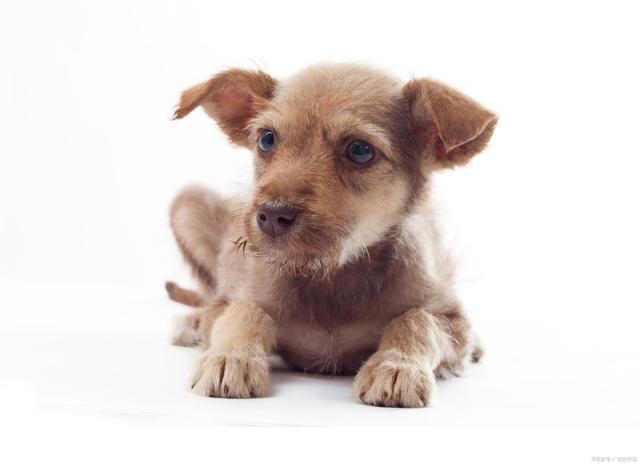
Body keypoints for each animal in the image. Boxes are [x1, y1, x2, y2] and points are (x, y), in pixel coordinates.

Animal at [166, 63, 497, 407]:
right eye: (267, 139)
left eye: (360, 150)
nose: (271, 216)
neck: (330, 275)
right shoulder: (229, 302)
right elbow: (244, 311)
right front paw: (231, 358)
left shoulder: (451, 320)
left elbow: (417, 320)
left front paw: (396, 366)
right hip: (187, 203)